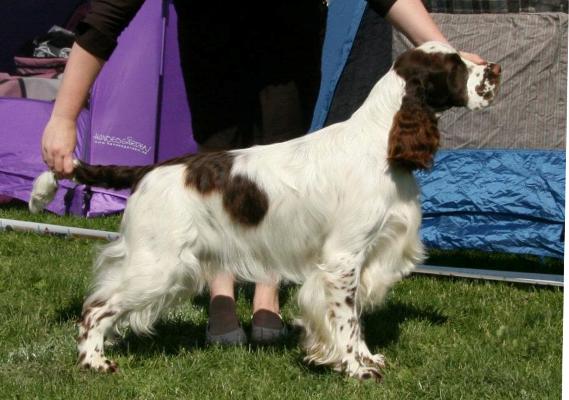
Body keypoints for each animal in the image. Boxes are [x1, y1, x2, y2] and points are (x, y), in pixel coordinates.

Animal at [30, 42, 496, 382]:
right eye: (454, 66)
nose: (492, 69)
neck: (381, 142)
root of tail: (148, 169)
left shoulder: (366, 256)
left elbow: (357, 316)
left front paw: (366, 358)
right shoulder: (343, 258)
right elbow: (347, 319)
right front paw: (355, 369)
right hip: (158, 265)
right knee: (96, 307)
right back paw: (94, 361)